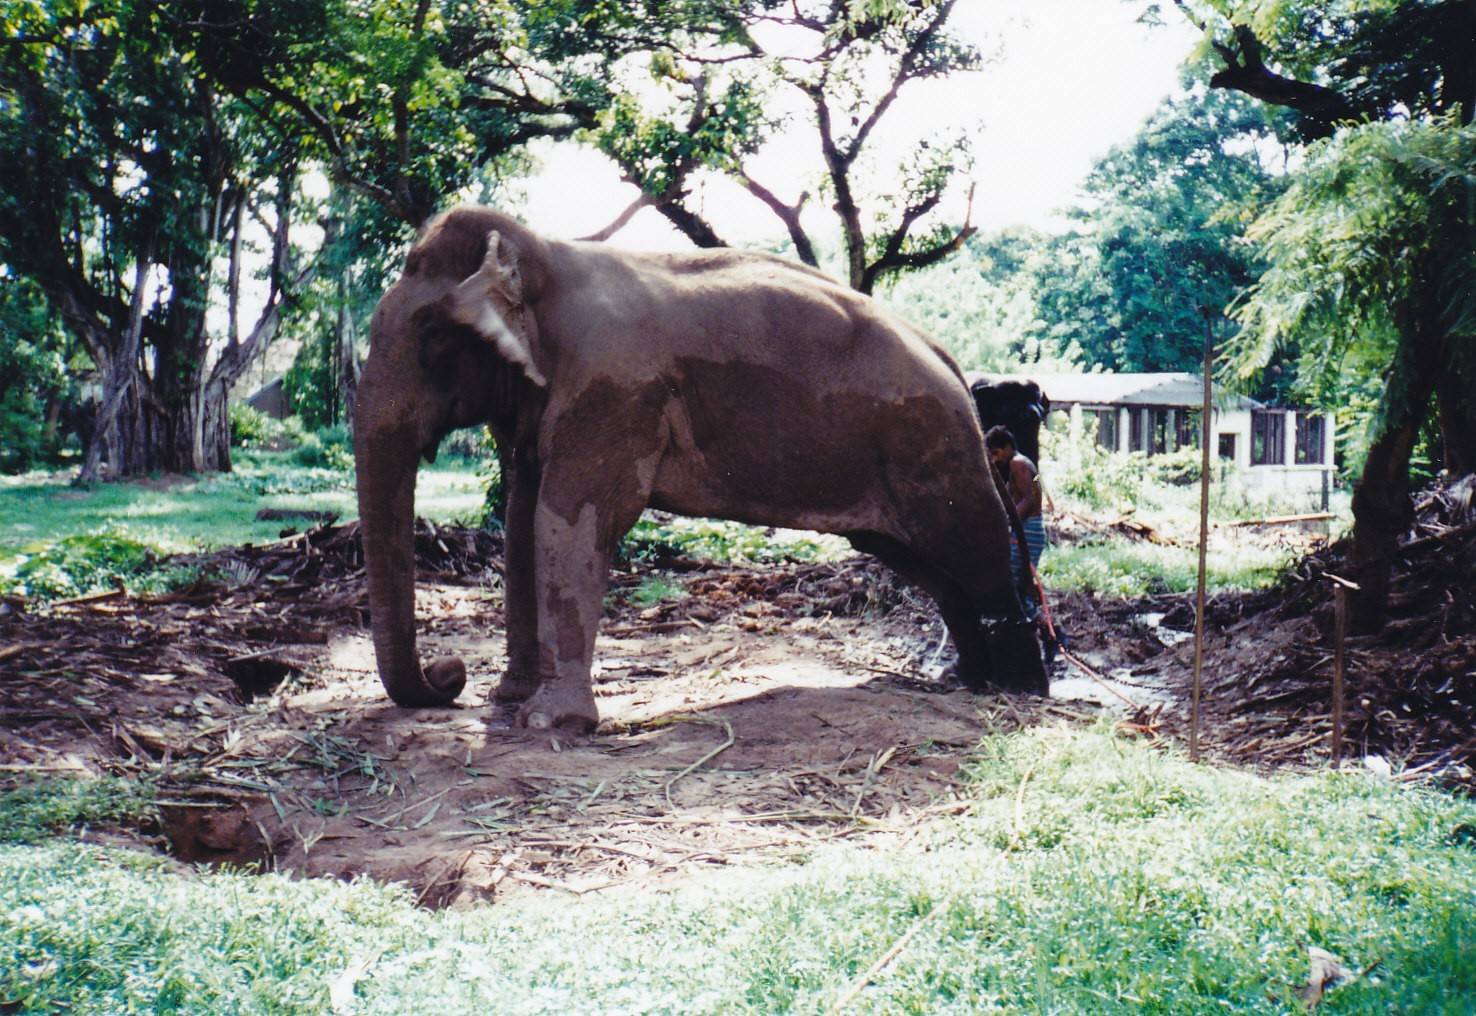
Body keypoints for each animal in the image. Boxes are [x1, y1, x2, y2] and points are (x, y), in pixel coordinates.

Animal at [354, 206, 1050, 729]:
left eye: (432, 335)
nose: (449, 676)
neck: (545, 254)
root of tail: (950, 360)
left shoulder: (614, 392)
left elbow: (569, 525)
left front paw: (550, 724)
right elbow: (524, 525)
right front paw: (511, 701)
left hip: (935, 446)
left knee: (976, 554)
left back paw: (1019, 690)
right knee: (932, 568)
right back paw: (965, 679)